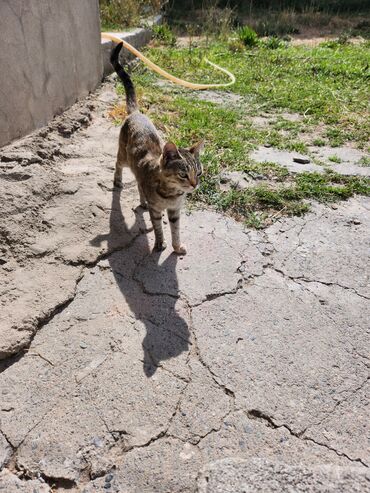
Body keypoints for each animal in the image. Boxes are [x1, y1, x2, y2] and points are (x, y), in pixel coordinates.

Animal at [110, 42, 202, 254]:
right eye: (183, 174)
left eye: (199, 173)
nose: (195, 185)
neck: (171, 195)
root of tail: (136, 112)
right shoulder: (157, 209)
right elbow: (159, 227)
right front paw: (160, 244)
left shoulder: (175, 211)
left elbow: (176, 230)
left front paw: (177, 247)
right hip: (124, 155)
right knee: (117, 164)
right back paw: (118, 181)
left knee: (138, 184)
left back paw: (142, 201)